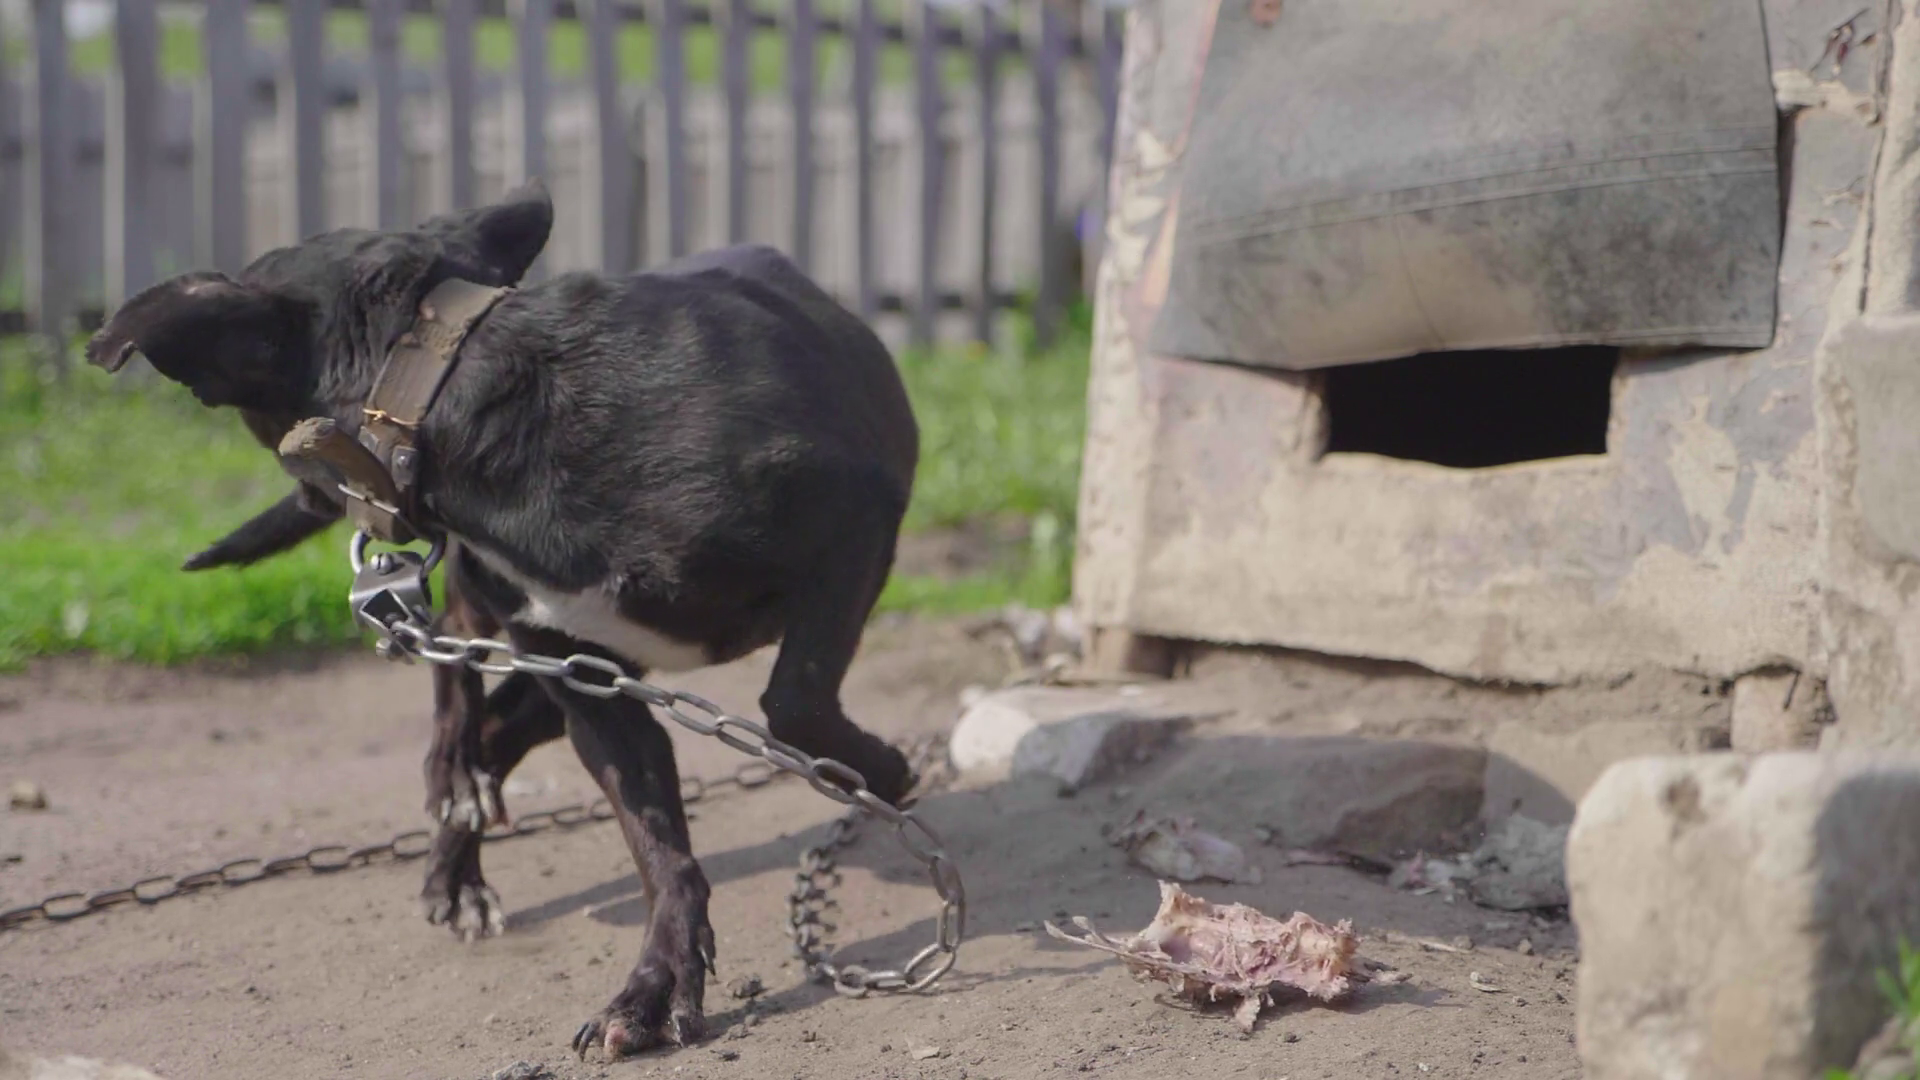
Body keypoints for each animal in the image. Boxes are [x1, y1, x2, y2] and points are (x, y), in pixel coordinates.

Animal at [86, 180, 921, 1057]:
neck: (445, 374)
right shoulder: (589, 687)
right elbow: (660, 847)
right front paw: (655, 986)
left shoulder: (856, 524)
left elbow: (792, 702)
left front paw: (880, 771)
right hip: (520, 629)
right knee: (464, 698)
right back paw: (455, 826)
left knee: (498, 725)